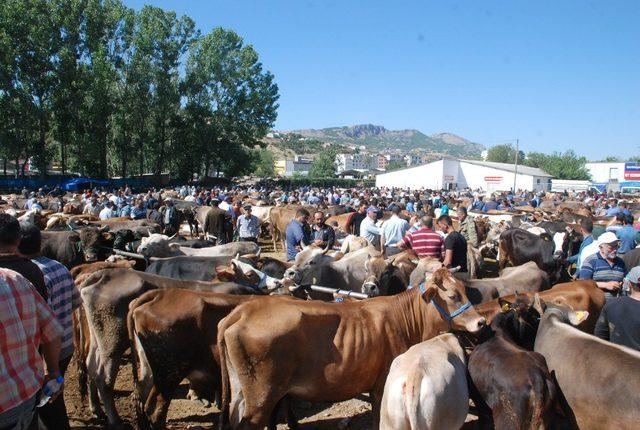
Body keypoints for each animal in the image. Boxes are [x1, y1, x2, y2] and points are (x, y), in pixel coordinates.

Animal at [77, 268, 268, 426]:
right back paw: (114, 419)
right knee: (105, 380)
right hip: (115, 345)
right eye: (250, 273)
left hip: (113, 348)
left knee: (97, 371)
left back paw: (98, 410)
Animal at [216, 268, 484, 428]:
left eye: (464, 290)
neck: (404, 320)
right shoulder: (380, 386)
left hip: (245, 391)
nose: (481, 321)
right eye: (453, 296)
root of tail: (243, 310)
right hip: (261, 397)